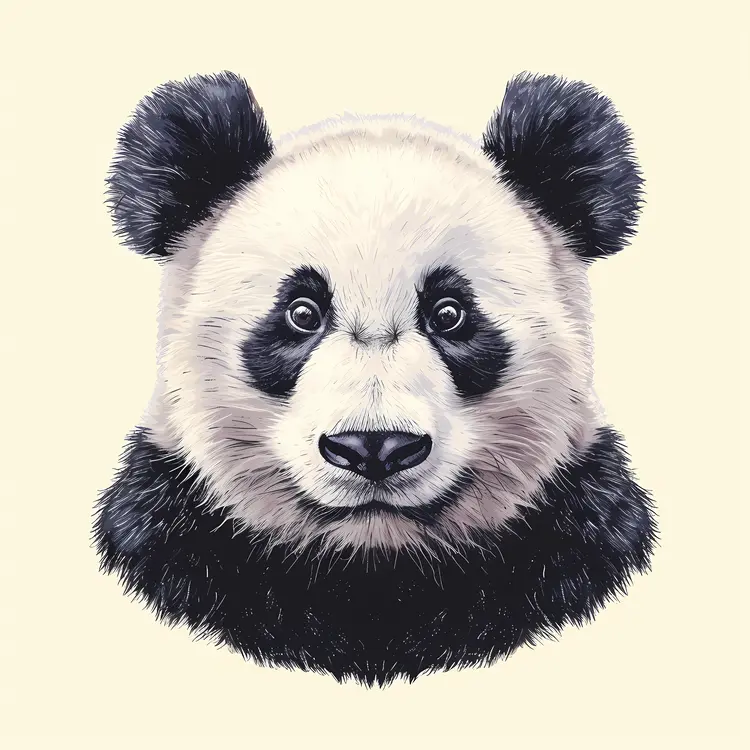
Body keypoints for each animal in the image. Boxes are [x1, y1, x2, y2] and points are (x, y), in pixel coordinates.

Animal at [94, 70, 657, 687]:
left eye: (449, 314)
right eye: (302, 313)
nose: (373, 447)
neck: (373, 570)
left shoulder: (573, 535)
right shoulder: (179, 535)